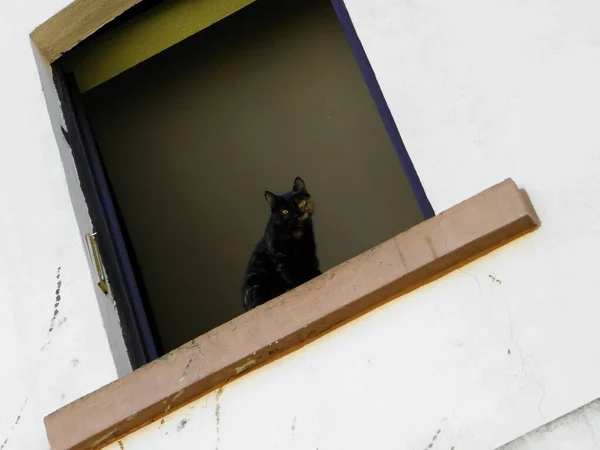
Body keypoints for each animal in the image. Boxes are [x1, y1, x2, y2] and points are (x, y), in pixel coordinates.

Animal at [241, 178, 322, 312]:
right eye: (284, 211)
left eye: (300, 204)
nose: (296, 216)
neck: (296, 236)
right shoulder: (281, 254)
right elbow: (289, 271)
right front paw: (300, 281)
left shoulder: (307, 247)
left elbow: (308, 263)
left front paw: (313, 275)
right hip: (257, 278)